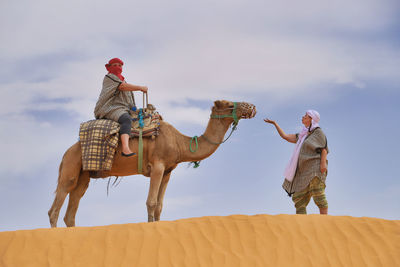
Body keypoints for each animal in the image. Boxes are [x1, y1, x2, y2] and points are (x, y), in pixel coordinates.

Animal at [48, 100, 256, 228]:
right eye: (229, 104)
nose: (252, 107)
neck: (179, 142)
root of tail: (66, 152)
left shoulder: (168, 172)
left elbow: (160, 205)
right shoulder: (158, 166)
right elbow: (151, 202)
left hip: (84, 175)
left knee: (73, 206)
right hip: (71, 166)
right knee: (56, 207)